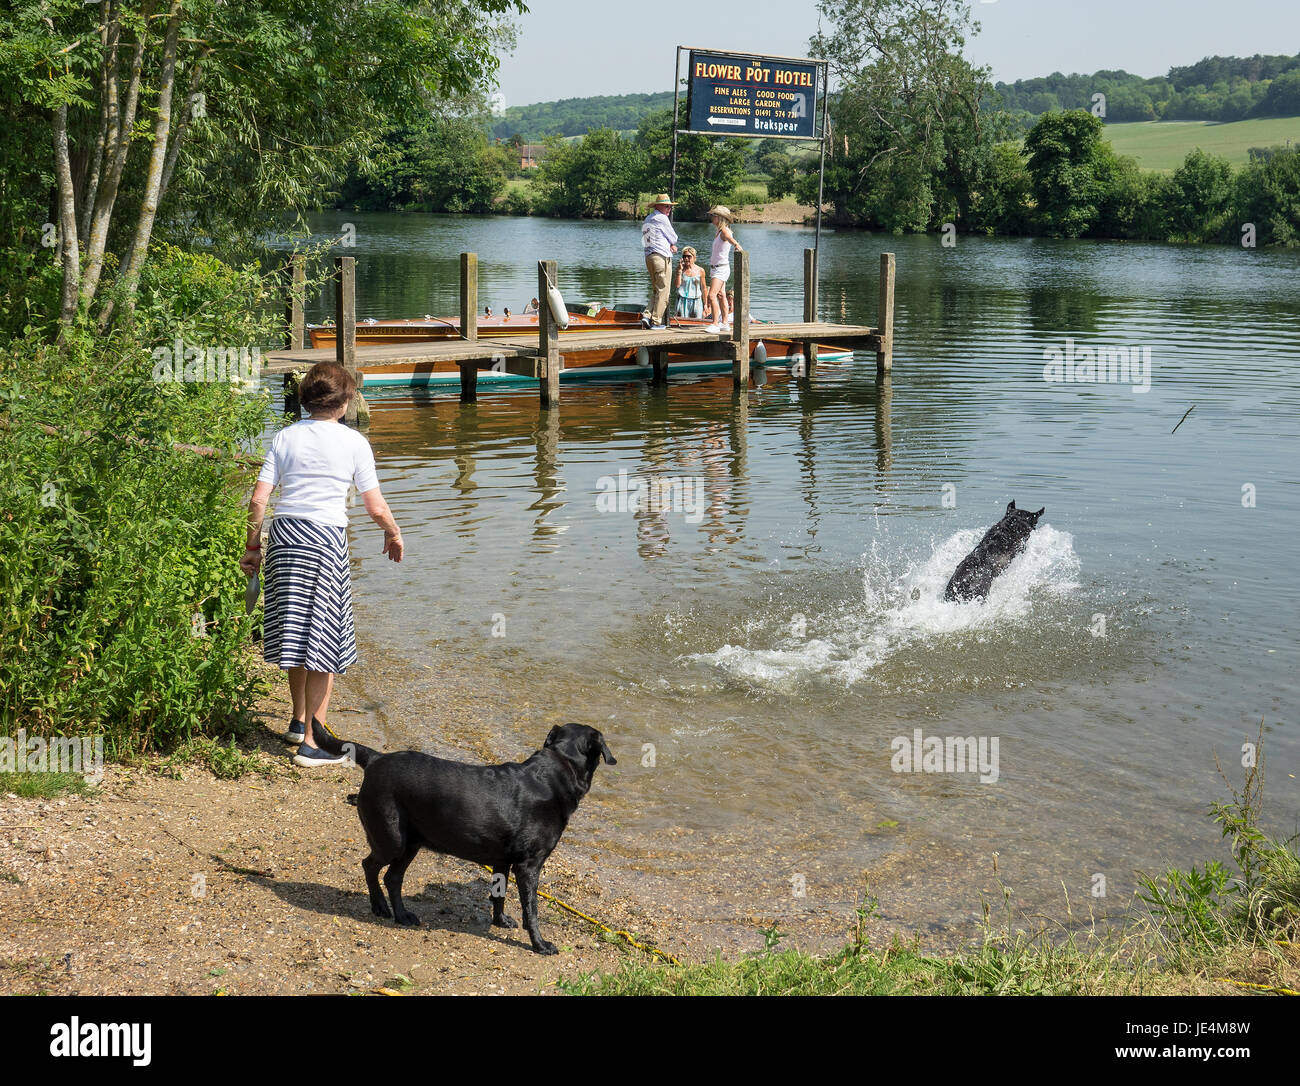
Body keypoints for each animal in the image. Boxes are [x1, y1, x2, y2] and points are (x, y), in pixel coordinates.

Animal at [314, 728, 618, 957]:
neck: (557, 768)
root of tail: (377, 758)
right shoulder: (529, 866)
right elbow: (531, 910)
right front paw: (540, 944)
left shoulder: (502, 862)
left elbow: (498, 895)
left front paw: (500, 921)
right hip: (393, 840)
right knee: (370, 866)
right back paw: (379, 906)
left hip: (411, 843)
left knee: (392, 877)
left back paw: (401, 915)